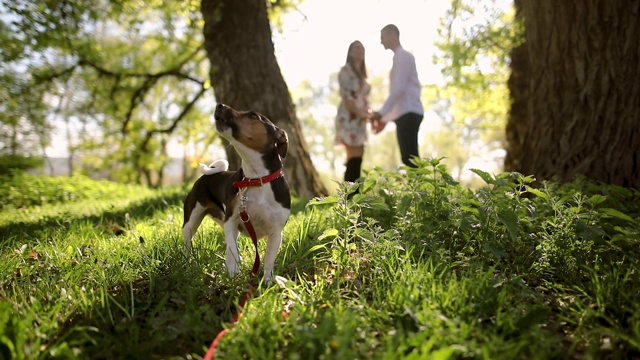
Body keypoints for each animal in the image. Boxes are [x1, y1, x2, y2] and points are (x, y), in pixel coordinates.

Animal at [182, 102, 292, 282]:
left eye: (253, 116)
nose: (220, 105)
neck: (256, 179)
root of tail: (207, 175)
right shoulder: (231, 221)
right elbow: (232, 250)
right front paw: (233, 273)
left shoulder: (276, 233)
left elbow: (269, 260)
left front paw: (268, 282)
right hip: (192, 220)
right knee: (188, 243)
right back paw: (189, 262)